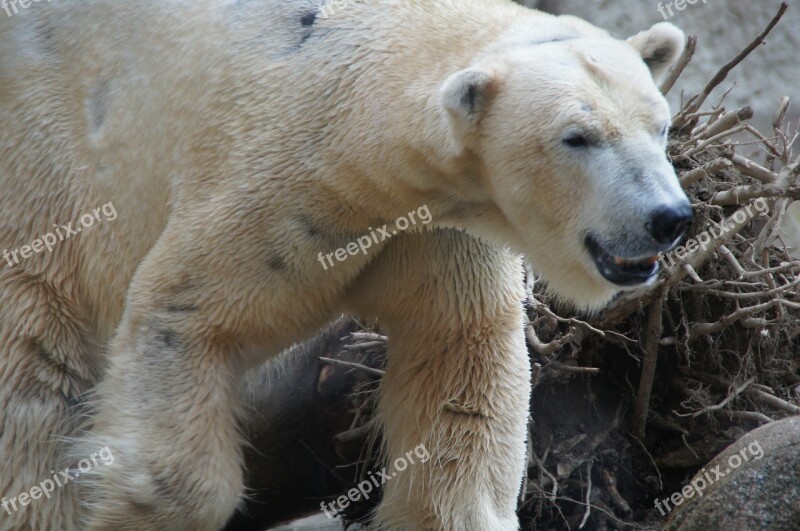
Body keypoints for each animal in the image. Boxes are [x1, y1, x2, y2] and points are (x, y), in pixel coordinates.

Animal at [0, 0, 688, 528]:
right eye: (577, 137)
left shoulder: (432, 229)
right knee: (34, 382)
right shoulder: (272, 187)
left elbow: (460, 368)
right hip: (42, 177)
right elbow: (183, 317)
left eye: (659, 124)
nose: (669, 216)